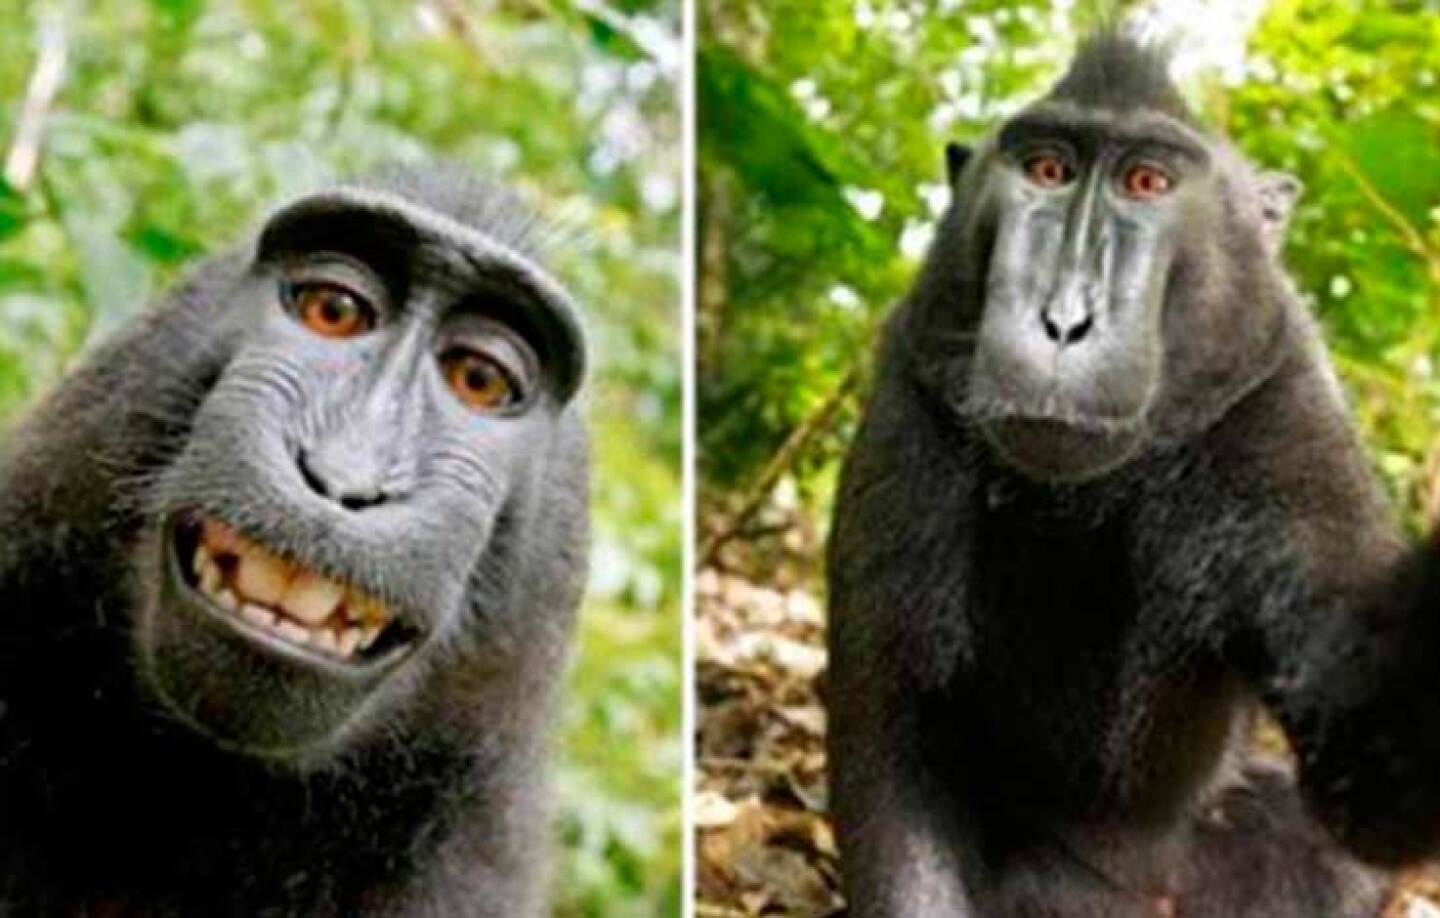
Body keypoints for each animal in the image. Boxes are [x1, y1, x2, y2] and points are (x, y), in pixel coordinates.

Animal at [827, 31, 1440, 918]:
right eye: (1049, 169)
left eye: (1146, 183)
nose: (1064, 321)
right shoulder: (913, 401)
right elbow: (892, 736)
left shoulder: (1281, 404)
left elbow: (1366, 759)